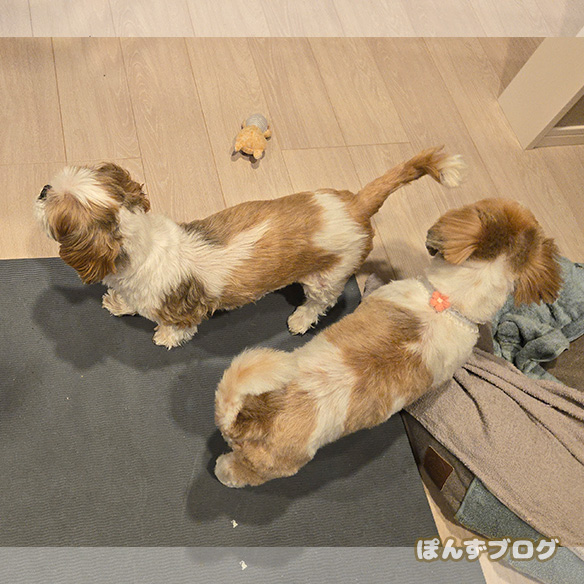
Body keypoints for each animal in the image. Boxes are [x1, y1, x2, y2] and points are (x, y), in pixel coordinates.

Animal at [35, 148, 464, 348]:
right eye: (50, 187)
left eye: (57, 216)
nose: (41, 188)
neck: (144, 245)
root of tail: (355, 204)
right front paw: (117, 303)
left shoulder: (180, 311)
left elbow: (176, 328)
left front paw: (164, 337)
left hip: (327, 277)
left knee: (321, 302)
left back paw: (301, 319)